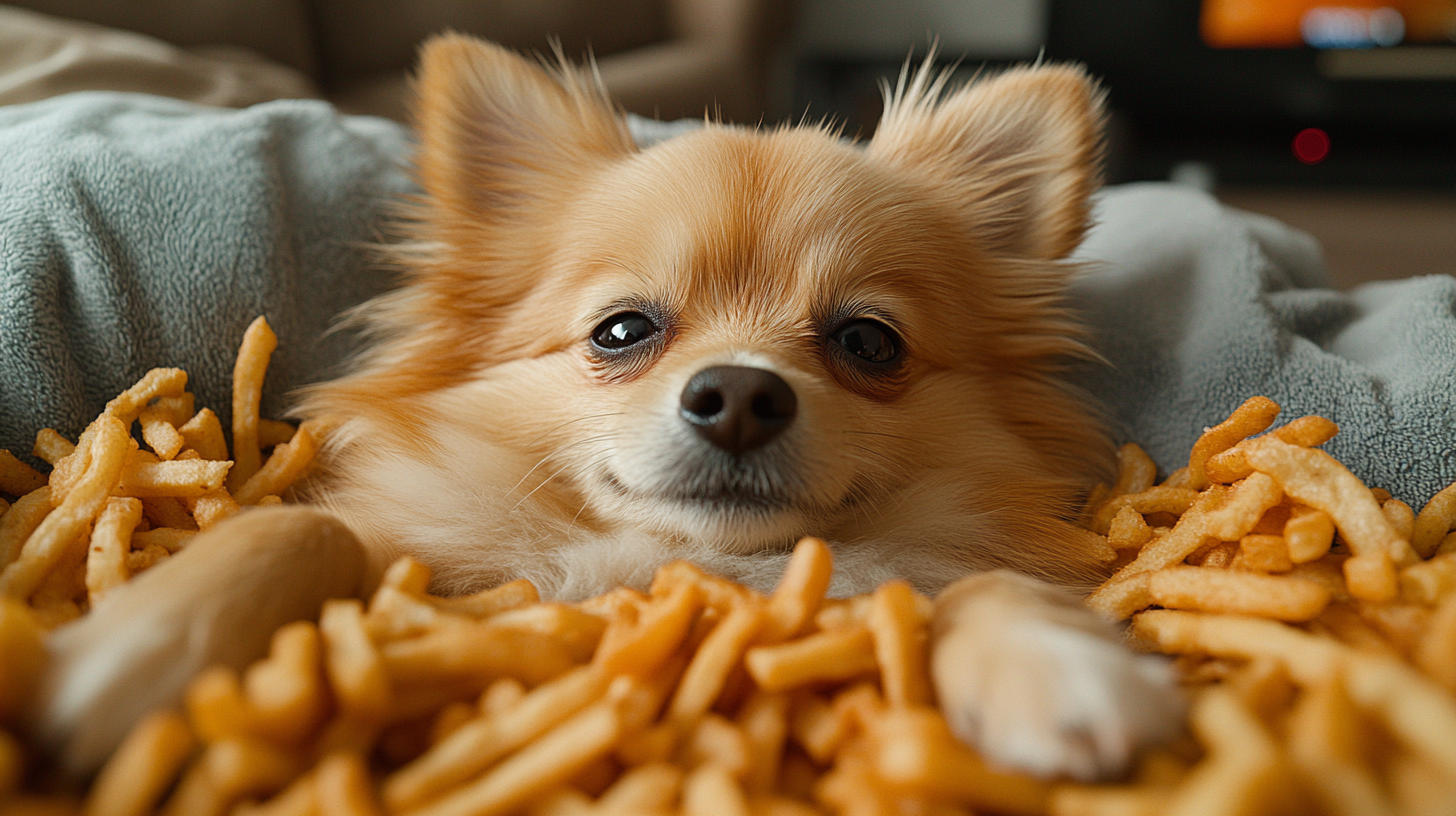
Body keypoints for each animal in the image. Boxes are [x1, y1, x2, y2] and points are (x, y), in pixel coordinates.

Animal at [281, 34, 1182, 781]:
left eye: (869, 342)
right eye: (621, 330)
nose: (740, 396)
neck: (716, 573)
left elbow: (970, 585)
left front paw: (1051, 661)